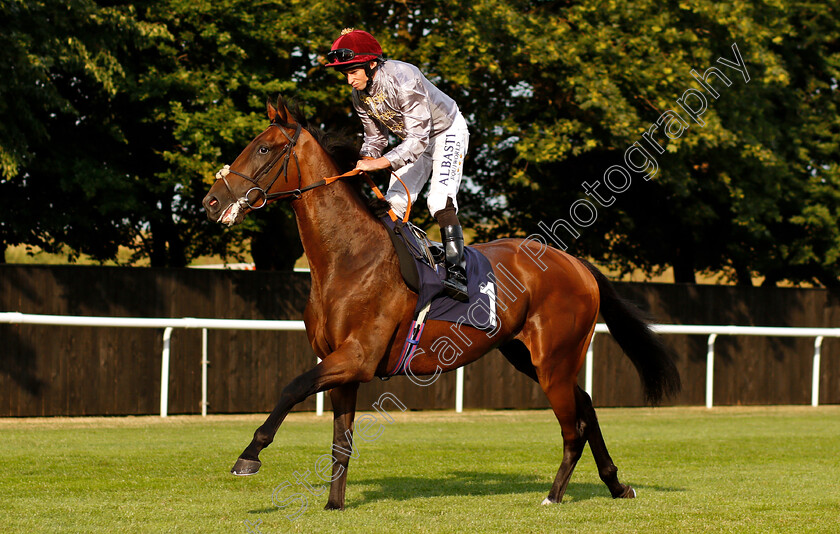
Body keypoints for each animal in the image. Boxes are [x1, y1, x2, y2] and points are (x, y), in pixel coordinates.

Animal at [203, 98, 684, 512]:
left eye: (263, 148)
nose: (212, 201)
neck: (348, 258)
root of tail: (576, 263)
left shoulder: (356, 358)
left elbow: (291, 387)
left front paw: (249, 456)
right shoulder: (341, 366)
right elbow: (341, 440)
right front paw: (334, 503)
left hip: (554, 360)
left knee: (574, 426)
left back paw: (554, 495)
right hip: (527, 355)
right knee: (586, 404)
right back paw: (616, 484)